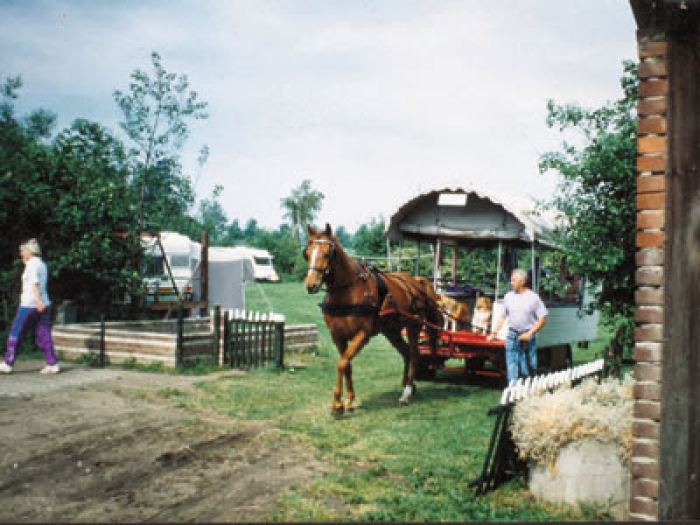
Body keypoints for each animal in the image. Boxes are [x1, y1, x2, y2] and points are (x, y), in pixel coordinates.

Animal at [302, 221, 442, 414]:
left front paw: (337, 404)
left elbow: (342, 363)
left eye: (327, 253)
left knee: (414, 354)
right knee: (406, 352)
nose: (311, 285)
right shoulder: (338, 336)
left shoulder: (362, 334)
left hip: (414, 326)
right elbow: (346, 364)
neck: (347, 292)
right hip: (392, 331)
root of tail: (416, 283)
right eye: (307, 253)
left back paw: (405, 394)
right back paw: (409, 385)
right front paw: (349, 400)